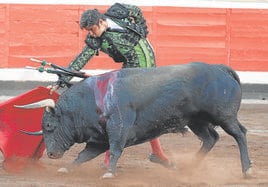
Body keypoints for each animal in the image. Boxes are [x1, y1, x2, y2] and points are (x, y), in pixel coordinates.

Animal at [17, 62, 251, 178]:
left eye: (49, 126)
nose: (51, 154)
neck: (91, 100)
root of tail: (220, 68)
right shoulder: (99, 139)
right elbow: (85, 155)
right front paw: (68, 168)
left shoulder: (118, 128)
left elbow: (116, 149)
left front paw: (109, 173)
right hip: (197, 121)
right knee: (211, 138)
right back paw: (188, 167)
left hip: (224, 116)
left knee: (239, 133)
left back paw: (246, 169)